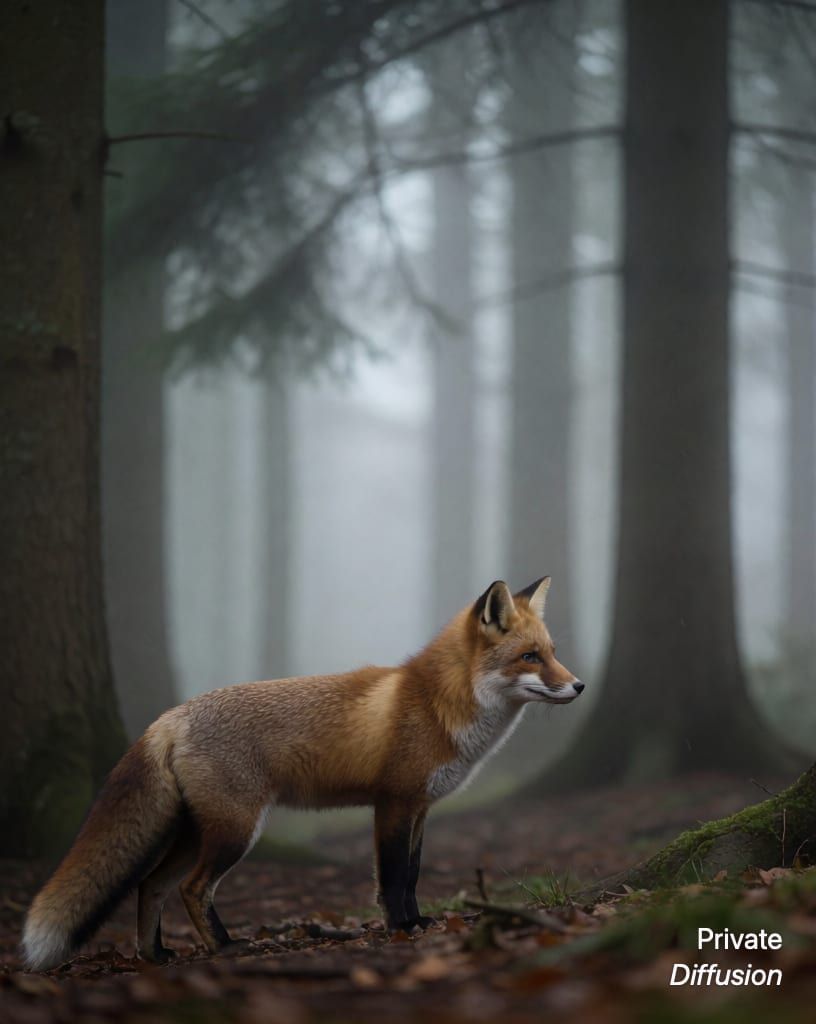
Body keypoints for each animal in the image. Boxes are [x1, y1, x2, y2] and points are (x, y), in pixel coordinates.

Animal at [22, 576, 583, 971]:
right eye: (530, 657)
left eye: (552, 653)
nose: (578, 686)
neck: (439, 705)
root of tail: (171, 715)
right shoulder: (393, 803)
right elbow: (393, 877)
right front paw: (402, 928)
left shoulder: (420, 807)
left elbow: (414, 874)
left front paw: (419, 921)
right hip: (235, 832)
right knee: (192, 889)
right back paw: (226, 947)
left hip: (194, 833)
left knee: (150, 886)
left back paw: (154, 956)